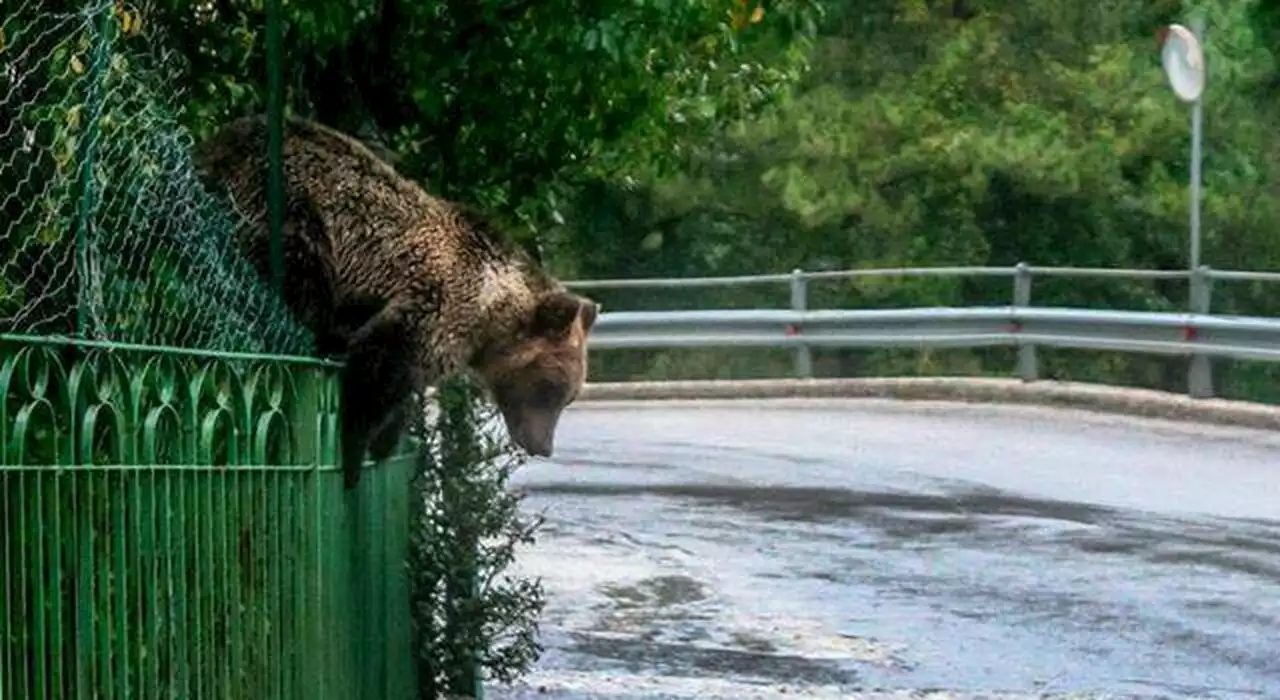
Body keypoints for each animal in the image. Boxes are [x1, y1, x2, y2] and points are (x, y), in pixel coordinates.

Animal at [193, 113, 599, 488]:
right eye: (551, 387)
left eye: (569, 396)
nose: (542, 446)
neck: (491, 315)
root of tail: (211, 145)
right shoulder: (437, 305)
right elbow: (378, 367)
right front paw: (354, 454)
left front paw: (386, 439)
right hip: (285, 206)